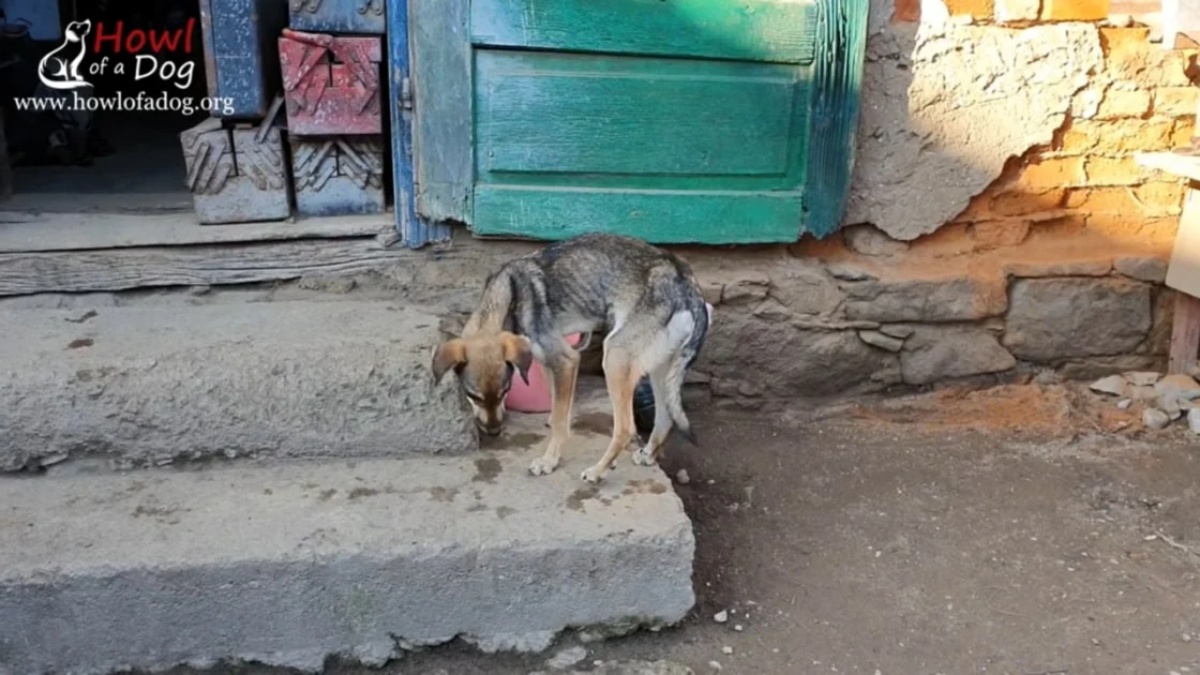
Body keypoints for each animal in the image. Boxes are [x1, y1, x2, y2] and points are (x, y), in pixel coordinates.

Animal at [432, 234, 705, 480]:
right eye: (473, 396)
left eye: (504, 392)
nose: (494, 432)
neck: (509, 296)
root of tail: (687, 285)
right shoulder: (546, 360)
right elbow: (557, 405)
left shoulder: (566, 360)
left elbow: (561, 421)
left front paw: (549, 461)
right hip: (658, 370)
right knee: (665, 419)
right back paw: (647, 455)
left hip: (614, 358)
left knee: (626, 428)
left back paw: (598, 471)